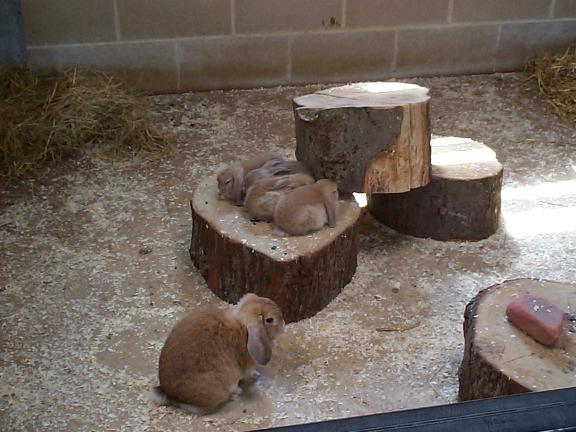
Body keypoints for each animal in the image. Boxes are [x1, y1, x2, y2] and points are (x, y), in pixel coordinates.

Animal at [149, 293, 285, 413]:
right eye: (270, 320)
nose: (283, 325)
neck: (243, 327)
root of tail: (168, 393)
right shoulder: (246, 369)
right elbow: (248, 374)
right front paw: (255, 376)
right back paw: (235, 394)